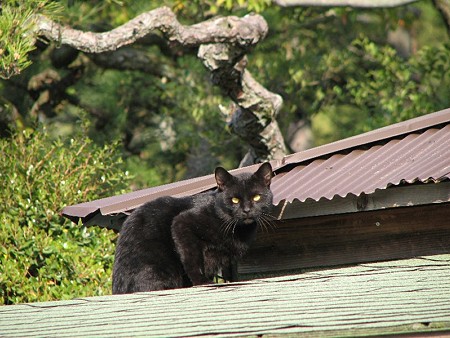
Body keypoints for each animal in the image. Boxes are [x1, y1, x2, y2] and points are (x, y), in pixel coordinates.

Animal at [112, 162, 274, 294]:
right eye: (234, 200)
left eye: (256, 197)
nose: (246, 210)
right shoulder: (182, 223)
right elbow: (193, 260)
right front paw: (202, 283)